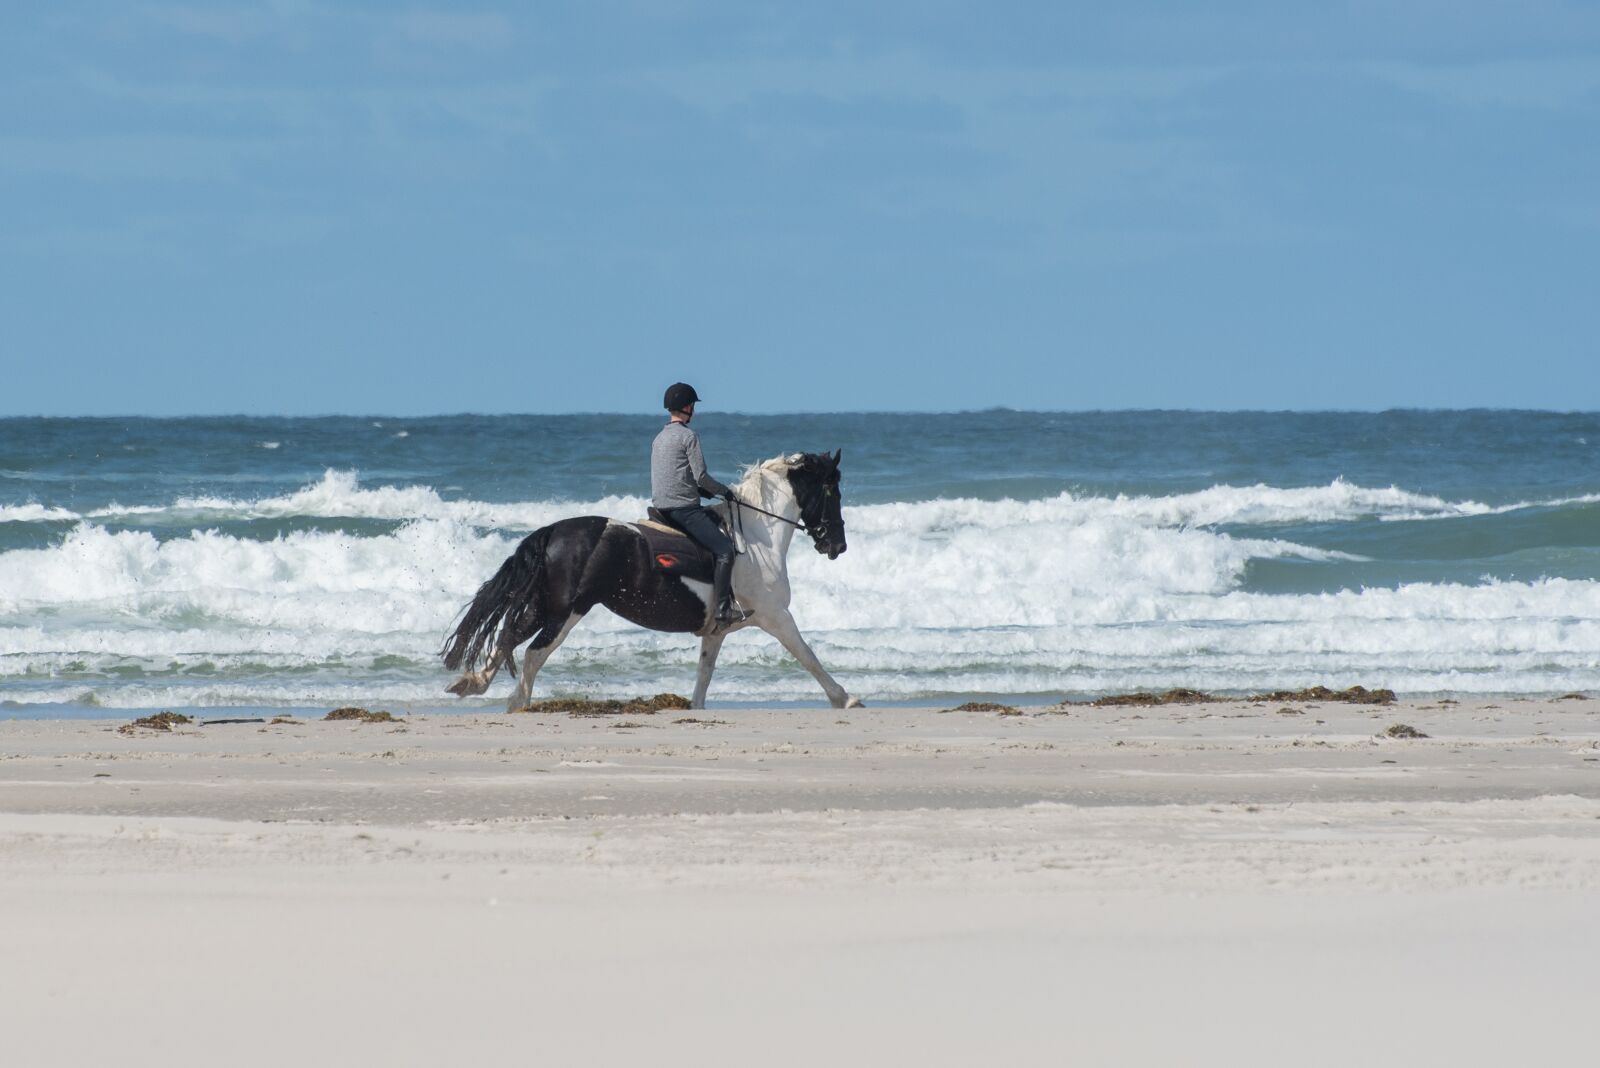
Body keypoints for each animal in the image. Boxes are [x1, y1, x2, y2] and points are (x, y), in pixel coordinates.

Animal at [441, 450, 861, 710]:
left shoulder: (717, 631)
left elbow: (705, 674)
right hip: (566, 611)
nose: (837, 545)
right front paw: (845, 698)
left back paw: (473, 683)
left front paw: (696, 708)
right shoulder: (776, 616)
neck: (757, 537)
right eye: (831, 490)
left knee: (508, 636)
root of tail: (556, 530)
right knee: (533, 652)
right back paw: (517, 702)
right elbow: (807, 655)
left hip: (546, 605)